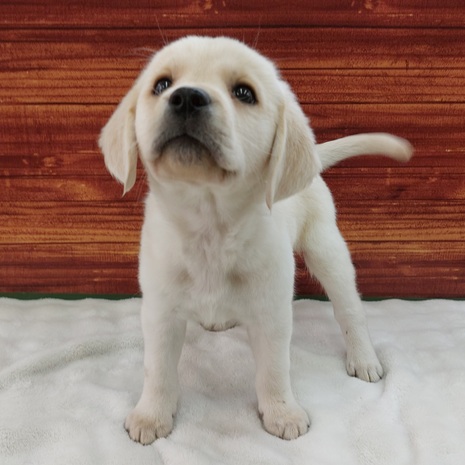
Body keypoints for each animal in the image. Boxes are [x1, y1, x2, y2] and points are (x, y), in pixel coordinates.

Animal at [99, 36, 412, 444]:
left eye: (244, 93)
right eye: (162, 84)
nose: (187, 98)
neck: (210, 227)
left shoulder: (272, 312)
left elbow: (274, 370)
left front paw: (282, 412)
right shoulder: (159, 310)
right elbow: (158, 371)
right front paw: (151, 415)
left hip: (326, 248)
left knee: (350, 309)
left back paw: (364, 358)